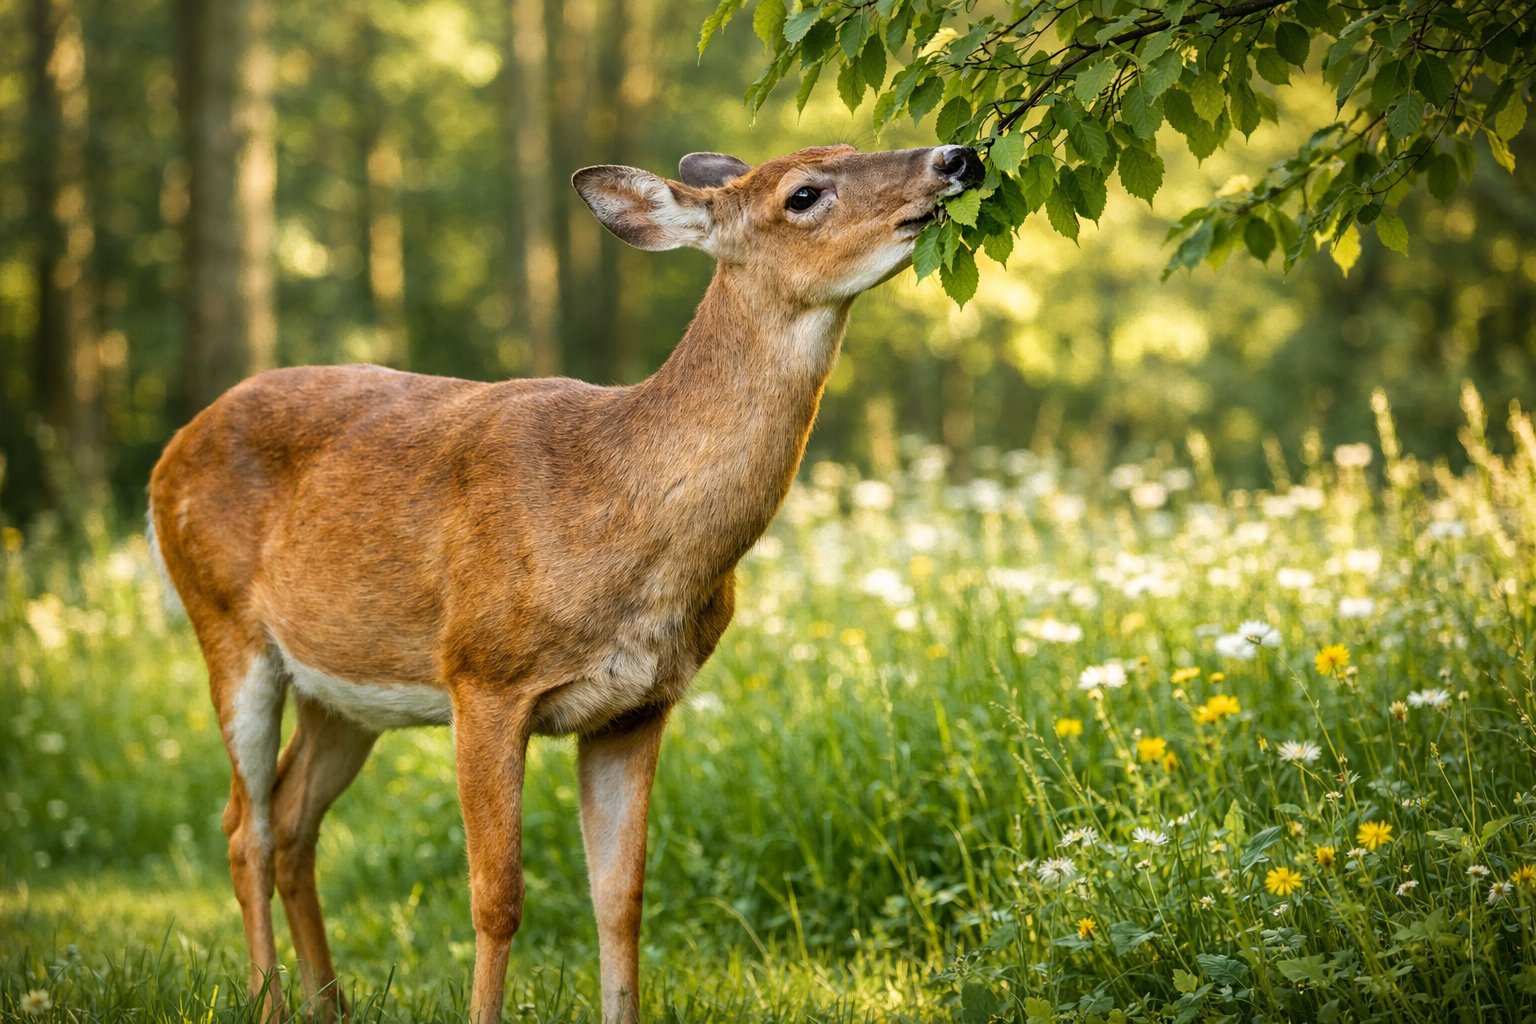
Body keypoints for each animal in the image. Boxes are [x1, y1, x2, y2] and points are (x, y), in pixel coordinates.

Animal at [147, 142, 981, 1024]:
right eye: (804, 194)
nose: (955, 156)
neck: (624, 511)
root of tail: (169, 454)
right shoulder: (482, 674)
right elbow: (497, 896)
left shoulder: (639, 705)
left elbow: (621, 896)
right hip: (225, 624)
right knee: (246, 826)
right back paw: (269, 1001)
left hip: (344, 688)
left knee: (293, 821)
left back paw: (328, 1004)